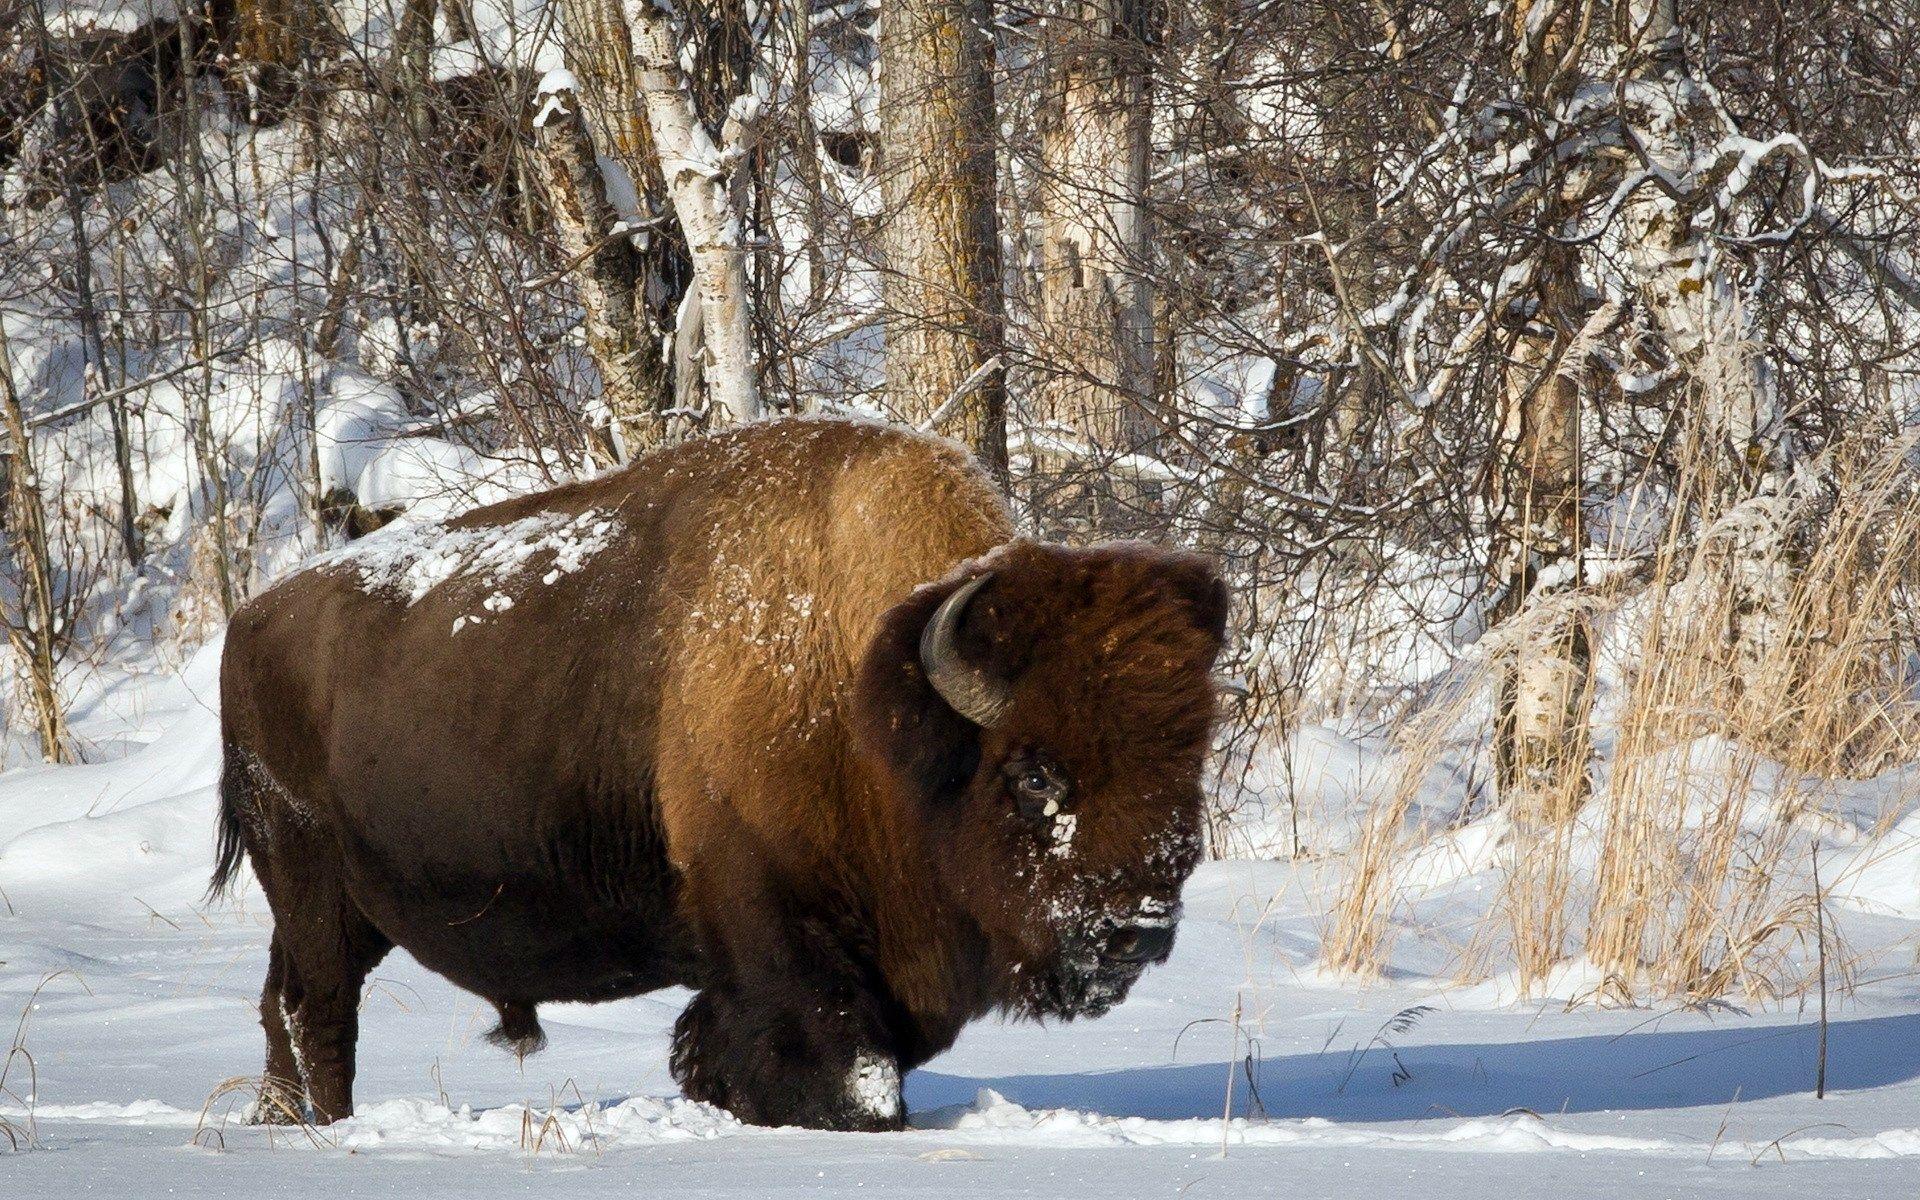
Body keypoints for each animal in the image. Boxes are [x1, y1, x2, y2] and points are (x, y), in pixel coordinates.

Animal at [214, 416, 1228, 1128]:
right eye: (1035, 776)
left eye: (1190, 756)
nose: (1140, 928)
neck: (867, 690)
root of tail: (249, 621)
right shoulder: (781, 938)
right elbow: (849, 1083)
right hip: (310, 888)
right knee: (319, 1013)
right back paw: (328, 1129)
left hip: (337, 911)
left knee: (279, 1002)